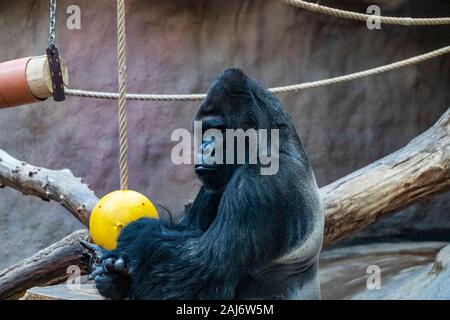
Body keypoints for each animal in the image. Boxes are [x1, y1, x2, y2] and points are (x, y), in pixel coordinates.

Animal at [82, 68, 324, 300]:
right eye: (204, 131)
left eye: (219, 130)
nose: (205, 146)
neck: (271, 143)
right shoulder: (214, 184)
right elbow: (188, 234)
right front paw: (114, 273)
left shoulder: (259, 183)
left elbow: (206, 267)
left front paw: (135, 238)